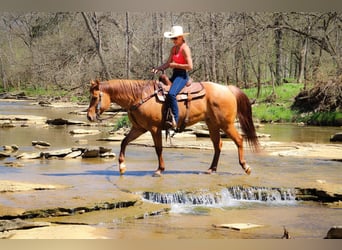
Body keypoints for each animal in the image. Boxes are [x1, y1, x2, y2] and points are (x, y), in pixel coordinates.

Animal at [87, 78, 260, 176]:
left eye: (95, 97)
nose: (89, 116)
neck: (140, 97)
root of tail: (227, 88)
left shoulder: (154, 129)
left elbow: (158, 149)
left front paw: (159, 170)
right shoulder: (139, 128)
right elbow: (124, 142)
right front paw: (122, 166)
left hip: (226, 124)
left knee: (239, 140)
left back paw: (246, 167)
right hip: (213, 124)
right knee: (218, 145)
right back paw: (211, 169)